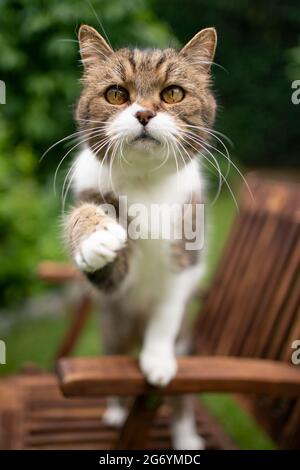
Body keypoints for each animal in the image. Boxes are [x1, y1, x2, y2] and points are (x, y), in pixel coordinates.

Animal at [64, 23, 217, 450]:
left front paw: (158, 361)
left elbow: (166, 310)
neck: (147, 181)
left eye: (173, 93)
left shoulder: (186, 254)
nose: (145, 113)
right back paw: (117, 411)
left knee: (181, 401)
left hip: (186, 339)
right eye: (116, 93)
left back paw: (185, 435)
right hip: (112, 326)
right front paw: (95, 239)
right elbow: (90, 228)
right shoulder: (93, 191)